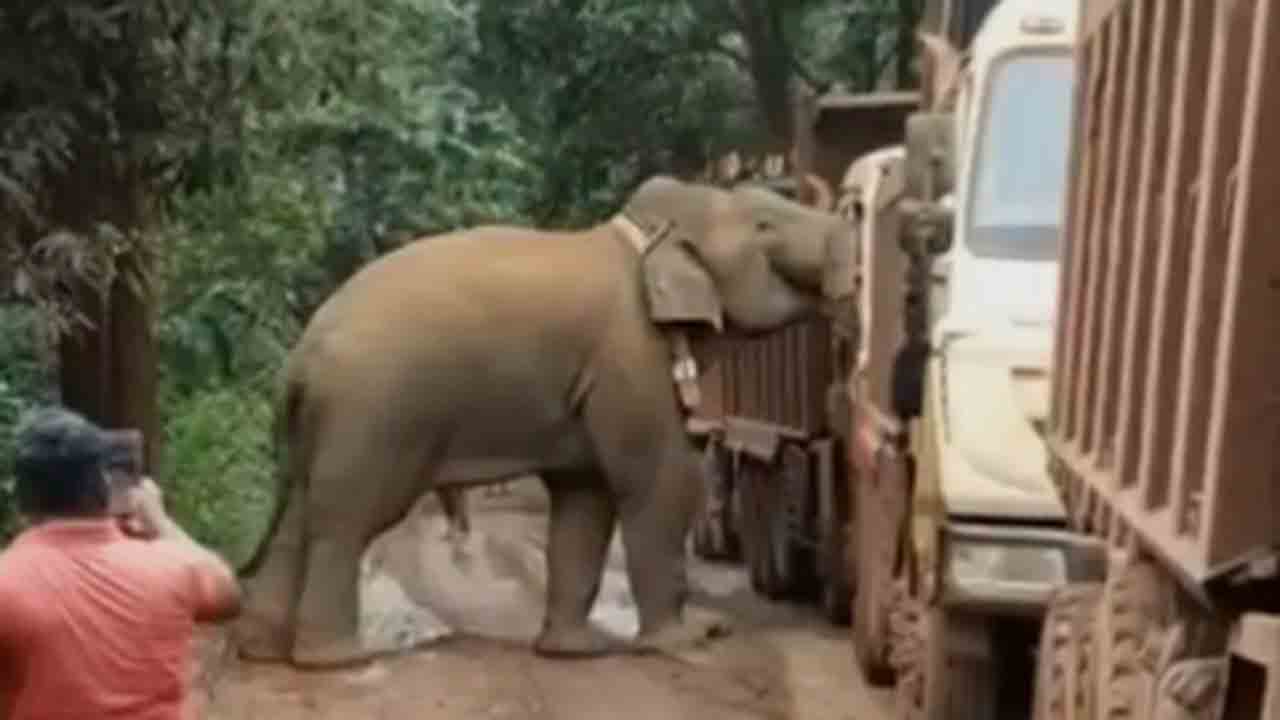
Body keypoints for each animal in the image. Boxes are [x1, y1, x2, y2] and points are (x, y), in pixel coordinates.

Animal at [232, 174, 859, 669]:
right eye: (765, 226)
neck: (641, 236)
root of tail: (298, 359)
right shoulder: (629, 358)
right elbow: (657, 481)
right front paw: (689, 640)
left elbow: (585, 498)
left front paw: (572, 653)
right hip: (373, 413)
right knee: (347, 520)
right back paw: (336, 660)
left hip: (328, 424)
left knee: (300, 516)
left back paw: (264, 653)